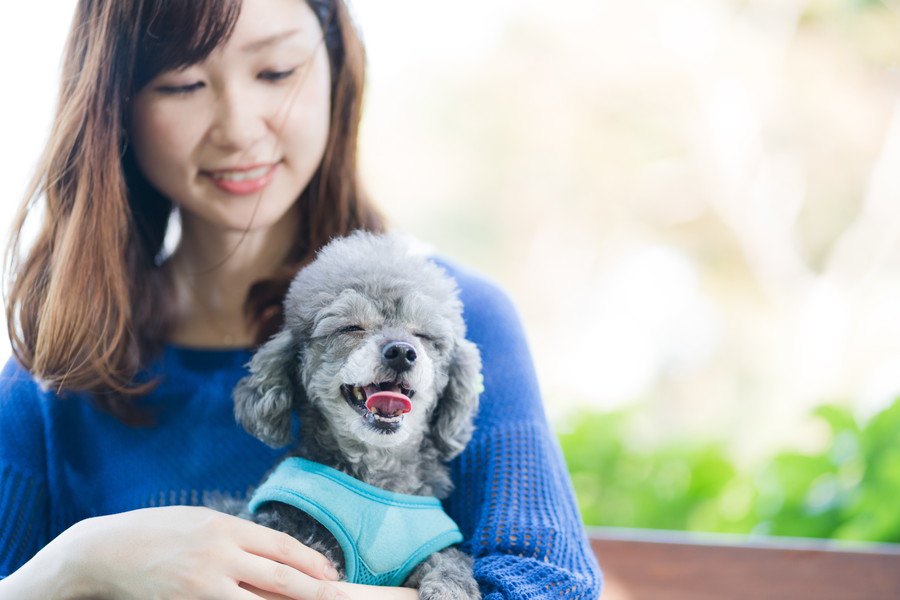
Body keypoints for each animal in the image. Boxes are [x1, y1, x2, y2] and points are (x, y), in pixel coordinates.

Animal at [232, 232, 486, 596]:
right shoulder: (291, 533)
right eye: (351, 327)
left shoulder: (434, 548)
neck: (376, 475)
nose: (402, 352)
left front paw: (449, 589)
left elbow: (450, 561)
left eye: (423, 335)